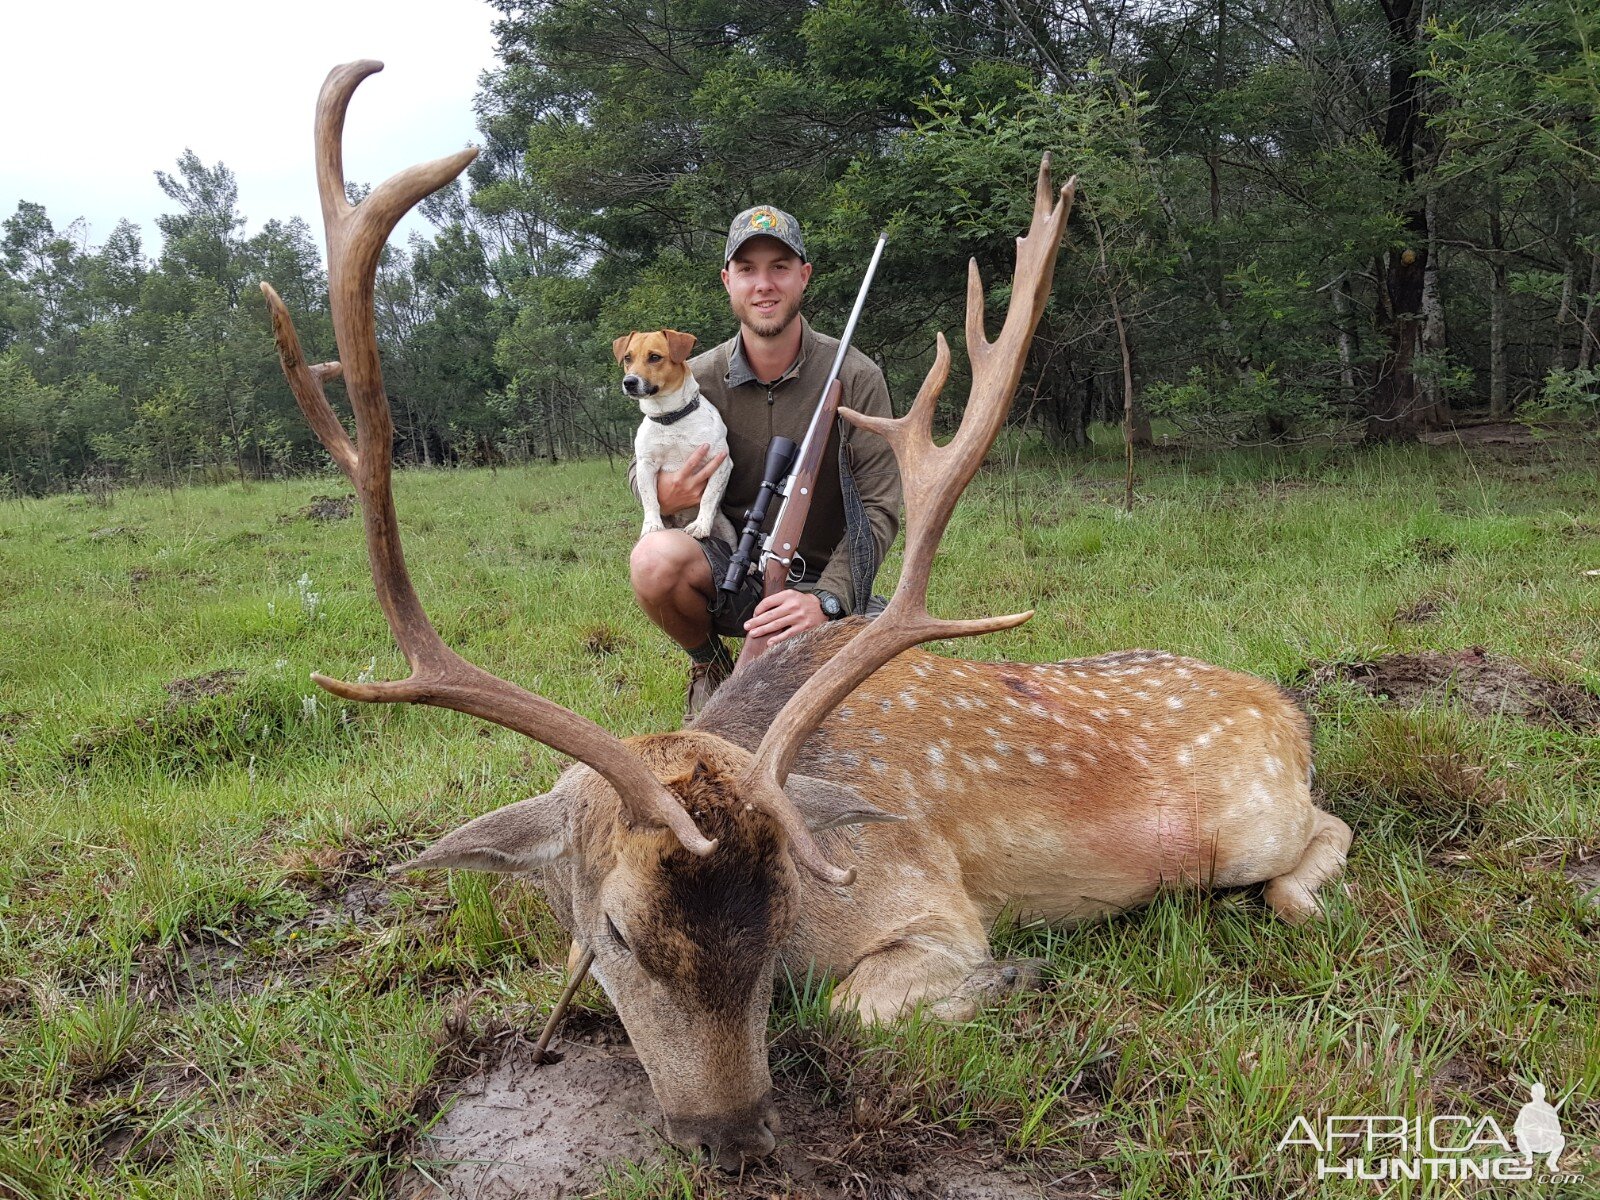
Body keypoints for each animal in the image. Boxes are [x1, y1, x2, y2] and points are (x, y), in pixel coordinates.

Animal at [259, 61, 1350, 1171]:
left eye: (784, 908)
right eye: (611, 934)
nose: (732, 1134)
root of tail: (1289, 709)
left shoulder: (931, 904)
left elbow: (853, 1005)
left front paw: (1014, 976)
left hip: (1248, 819)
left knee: (1323, 831)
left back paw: (1294, 897)